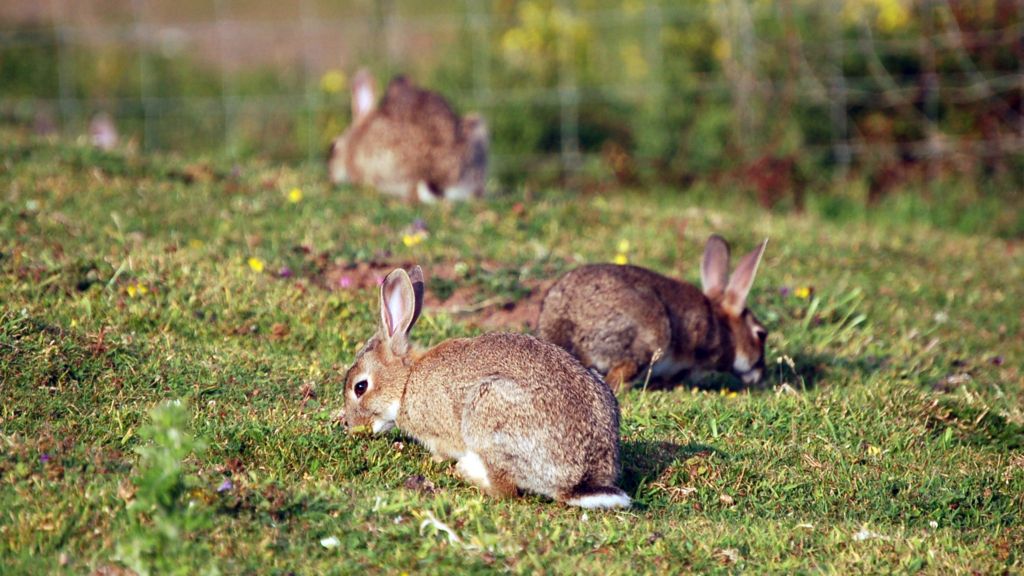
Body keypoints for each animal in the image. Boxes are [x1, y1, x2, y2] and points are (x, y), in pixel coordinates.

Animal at [341, 266, 630, 509]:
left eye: (360, 387)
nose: (353, 428)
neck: (406, 382)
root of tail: (581, 480)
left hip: (488, 414)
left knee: (506, 490)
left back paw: (468, 472)